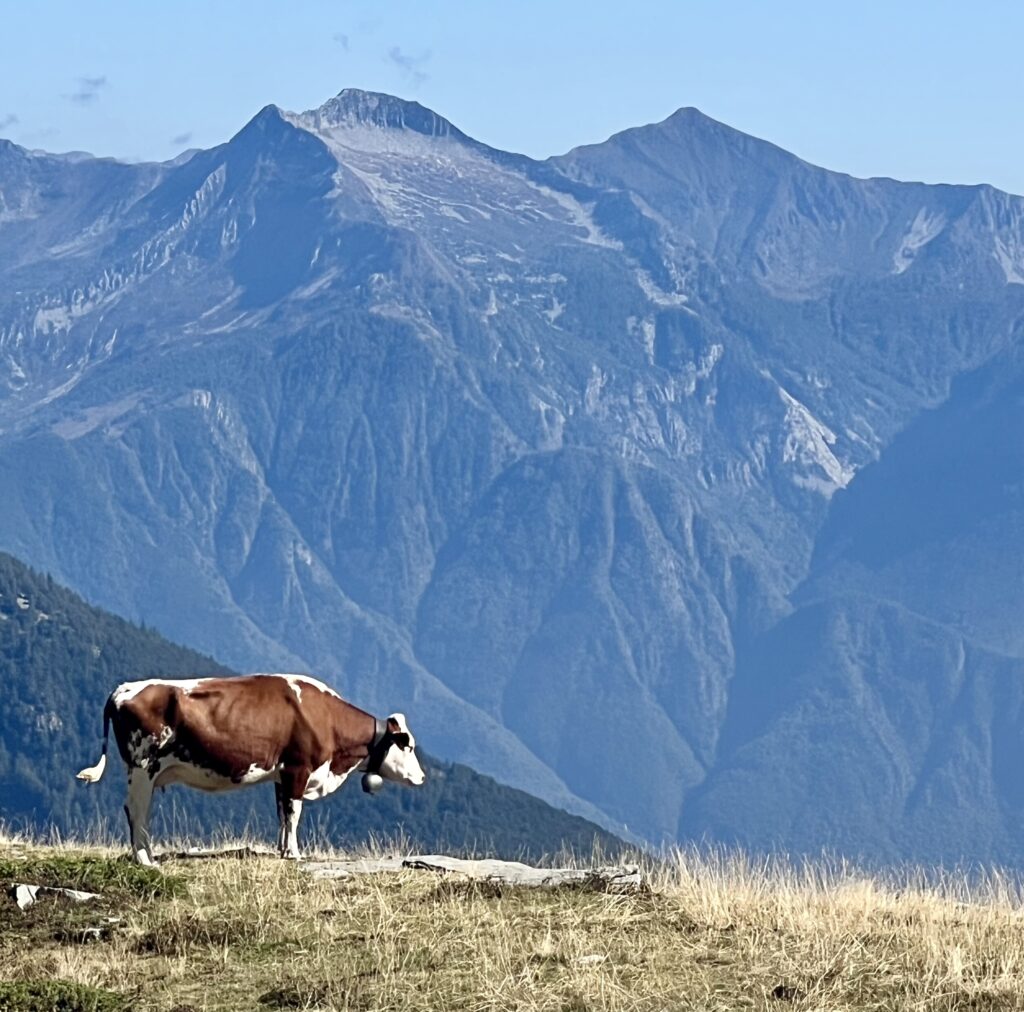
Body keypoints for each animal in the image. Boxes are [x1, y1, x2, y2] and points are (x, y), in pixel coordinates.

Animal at [75, 673, 426, 865]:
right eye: (408, 745)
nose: (422, 777)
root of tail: (123, 688)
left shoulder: (281, 773)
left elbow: (282, 814)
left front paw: (282, 850)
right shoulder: (298, 768)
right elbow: (295, 812)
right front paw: (294, 853)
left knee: (141, 811)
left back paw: (148, 854)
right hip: (142, 766)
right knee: (136, 809)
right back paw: (144, 859)